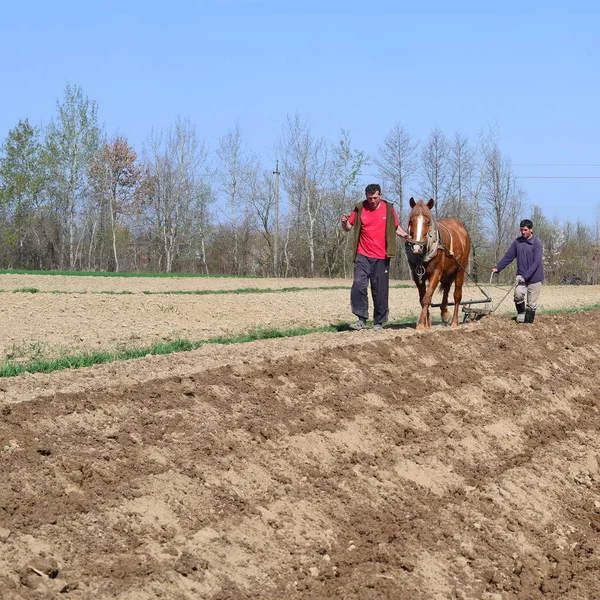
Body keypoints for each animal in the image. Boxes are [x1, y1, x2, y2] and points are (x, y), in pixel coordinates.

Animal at [406, 198, 472, 330]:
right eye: (411, 220)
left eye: (428, 222)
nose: (417, 247)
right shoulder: (417, 276)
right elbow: (423, 298)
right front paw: (427, 324)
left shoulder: (436, 273)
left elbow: (427, 298)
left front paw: (421, 325)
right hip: (446, 272)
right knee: (446, 288)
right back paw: (444, 313)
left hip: (460, 269)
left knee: (457, 295)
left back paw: (454, 322)